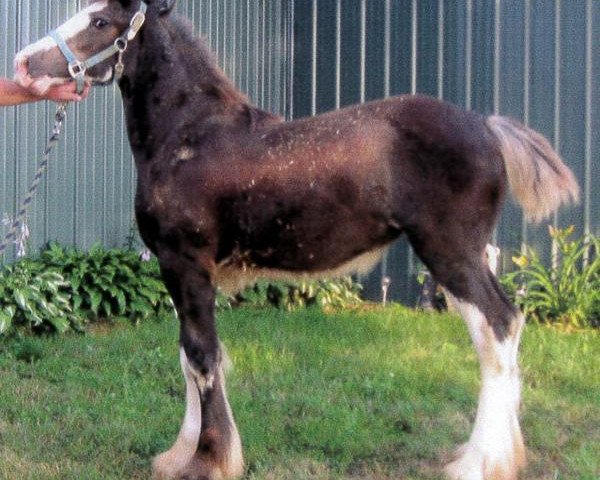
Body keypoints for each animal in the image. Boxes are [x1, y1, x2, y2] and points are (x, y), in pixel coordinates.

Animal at [12, 1, 576, 478]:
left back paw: (479, 461)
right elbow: (188, 357)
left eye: (100, 21)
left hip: (451, 254)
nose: (22, 64)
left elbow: (203, 357)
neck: (191, 136)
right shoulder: (178, 271)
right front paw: (178, 455)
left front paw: (208, 461)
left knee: (496, 329)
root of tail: (488, 124)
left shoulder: (186, 264)